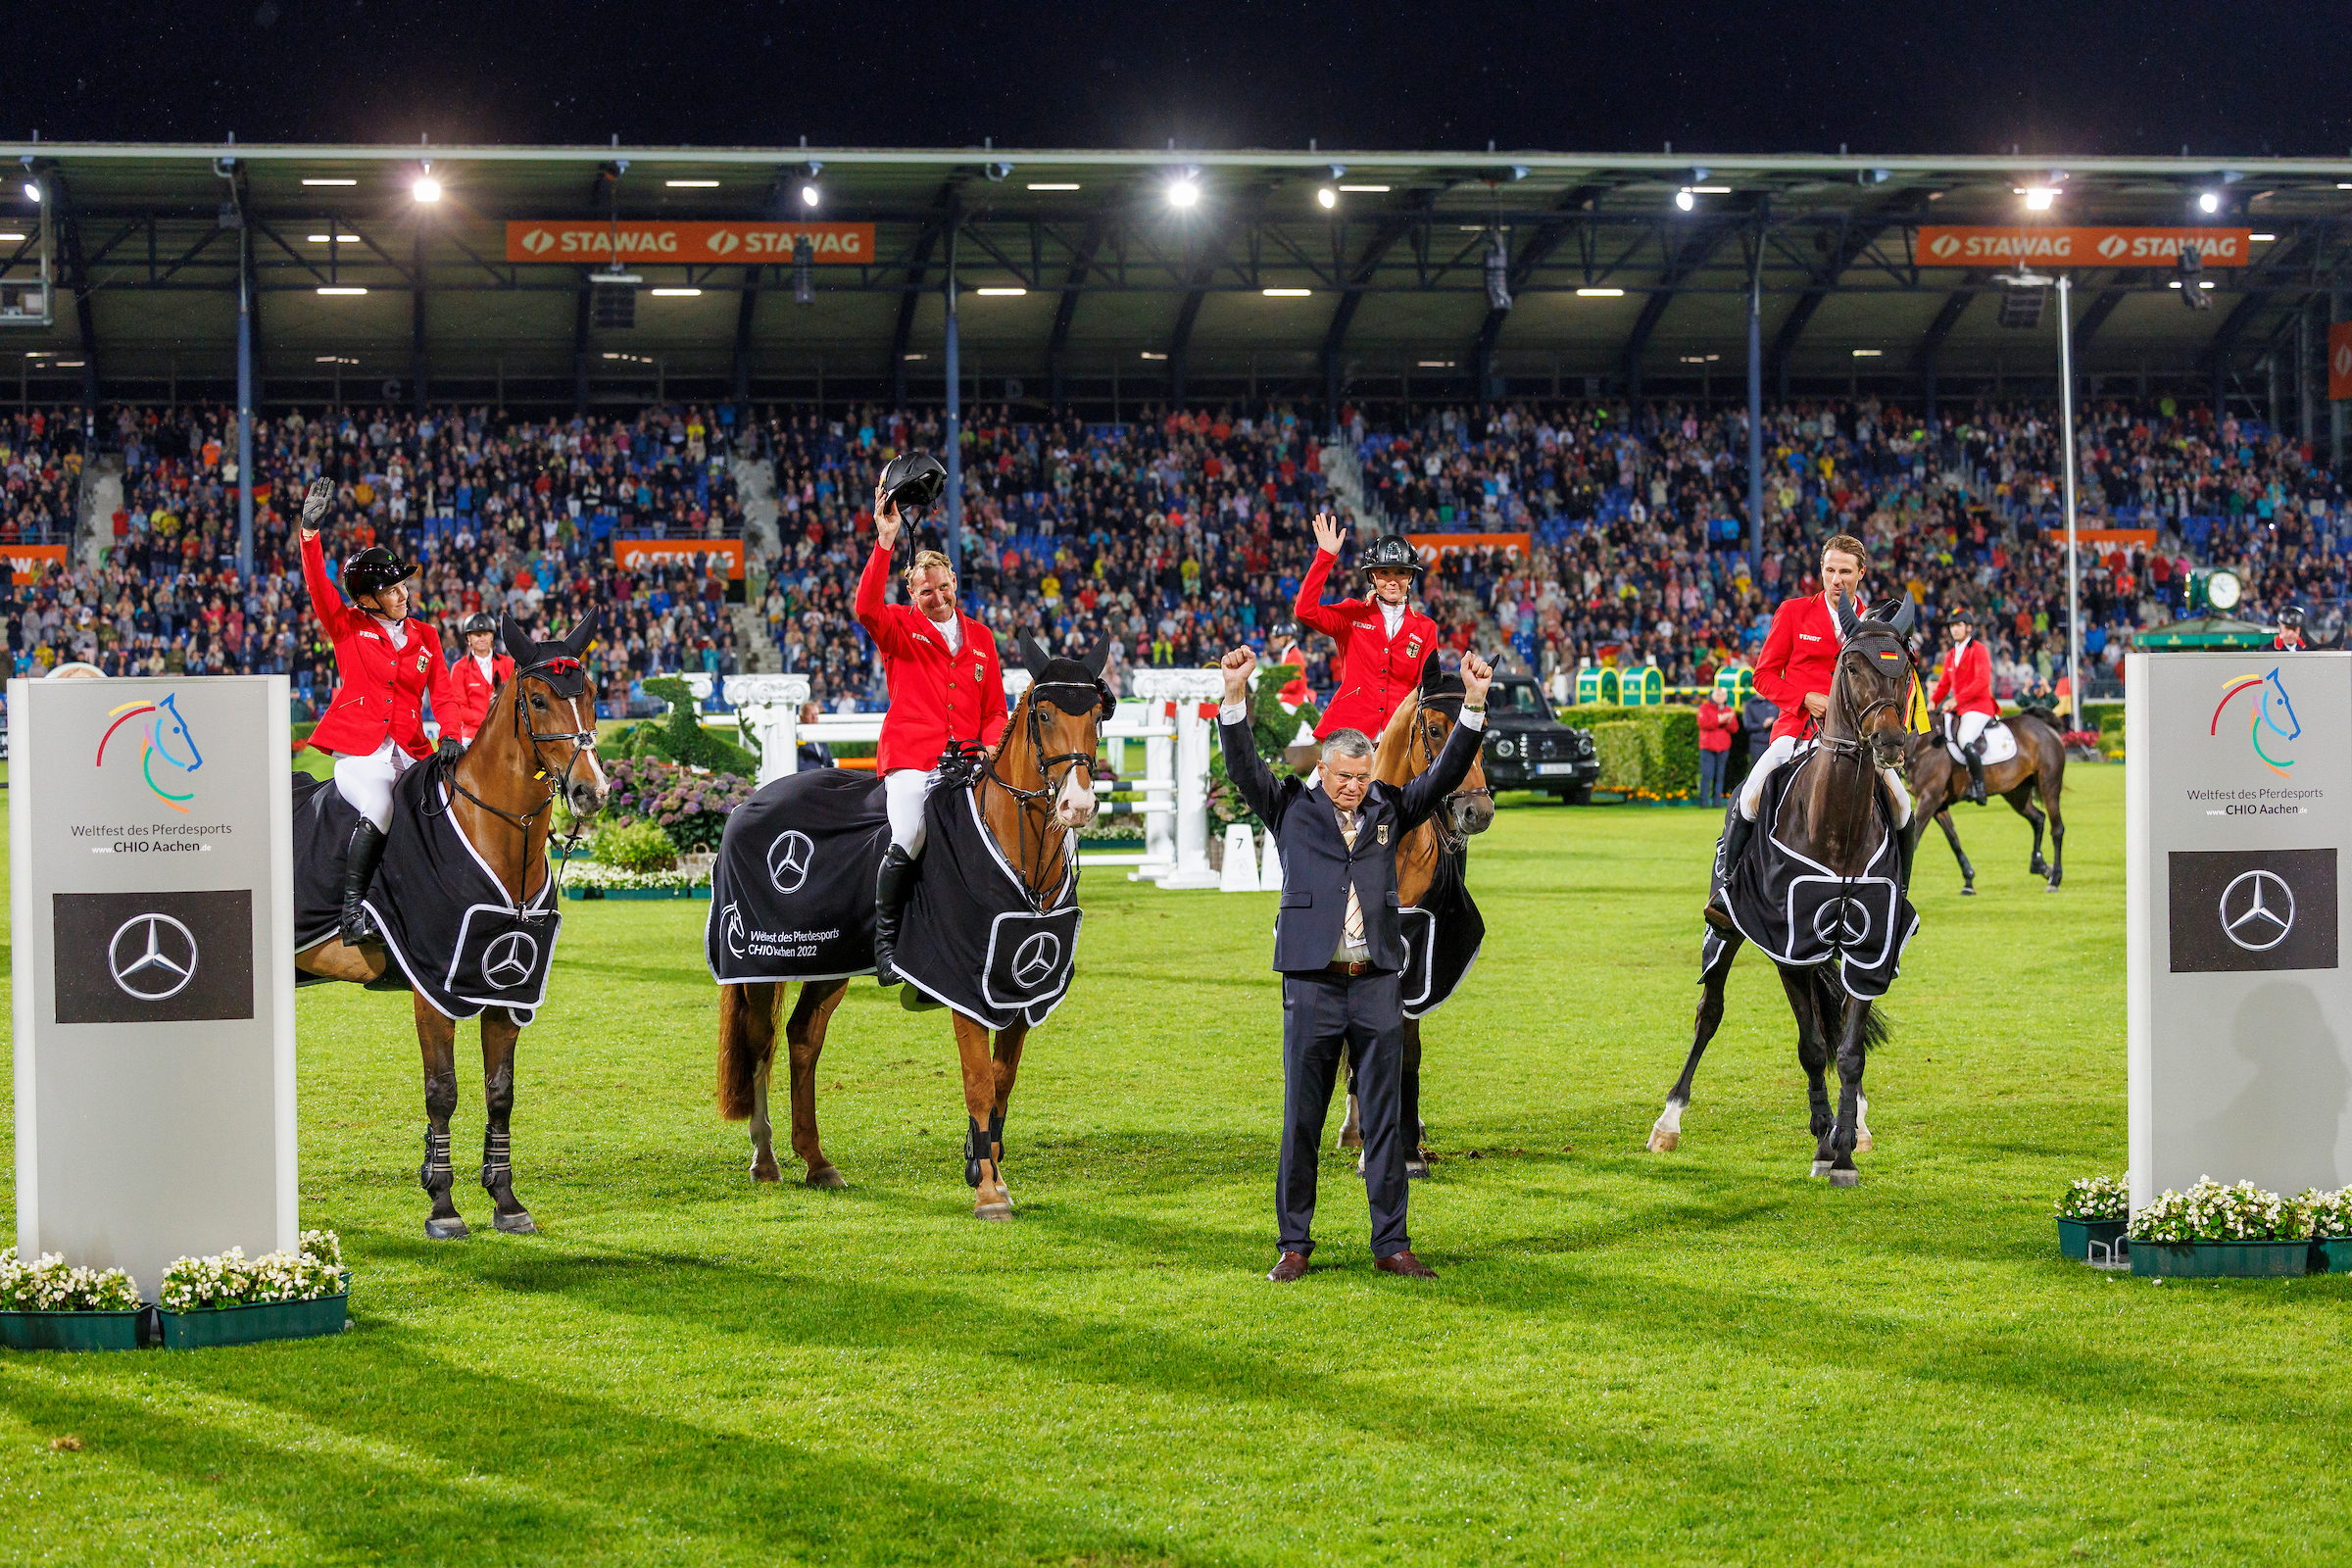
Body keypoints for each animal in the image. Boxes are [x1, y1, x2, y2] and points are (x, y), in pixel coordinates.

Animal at [296, 611, 607, 1241]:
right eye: (538, 700)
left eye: (589, 693)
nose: (592, 792)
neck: (495, 831)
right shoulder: (434, 988)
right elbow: (442, 1092)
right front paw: (442, 1205)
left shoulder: (504, 990)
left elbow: (500, 1093)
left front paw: (506, 1201)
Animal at [710, 644, 1105, 1222]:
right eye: (1046, 715)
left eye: (1097, 715)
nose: (1077, 804)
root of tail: (747, 802)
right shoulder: (964, 984)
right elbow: (979, 1082)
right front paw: (989, 1192)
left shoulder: (1019, 989)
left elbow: (1002, 1081)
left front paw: (983, 1163)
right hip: (761, 963)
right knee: (761, 1044)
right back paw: (765, 1159)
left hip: (828, 960)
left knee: (803, 1038)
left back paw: (817, 1161)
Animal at [1336, 662, 1495, 1175]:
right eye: (1435, 729)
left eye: (1483, 729)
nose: (1478, 811)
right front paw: (1371, 1143)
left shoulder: (1420, 954)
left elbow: (1407, 1050)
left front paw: (1407, 1152)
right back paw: (1354, 1126)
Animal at [1646, 602, 1919, 1189]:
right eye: (1851, 667)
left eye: (1905, 669)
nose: (1889, 744)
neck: (1836, 823)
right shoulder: (1787, 943)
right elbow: (1812, 1048)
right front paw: (1823, 1146)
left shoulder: (1868, 948)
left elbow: (1848, 1050)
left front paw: (1843, 1149)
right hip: (1727, 929)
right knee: (1710, 1013)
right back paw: (1668, 1121)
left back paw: (1857, 1123)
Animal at [1900, 710, 2070, 893]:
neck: (1921, 745)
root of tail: (2045, 726)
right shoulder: (1938, 805)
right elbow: (1954, 840)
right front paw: (1968, 880)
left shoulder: (1929, 798)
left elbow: (1914, 840)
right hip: (2016, 793)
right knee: (2038, 818)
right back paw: (2041, 866)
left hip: (2049, 786)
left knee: (2057, 829)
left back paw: (2054, 879)